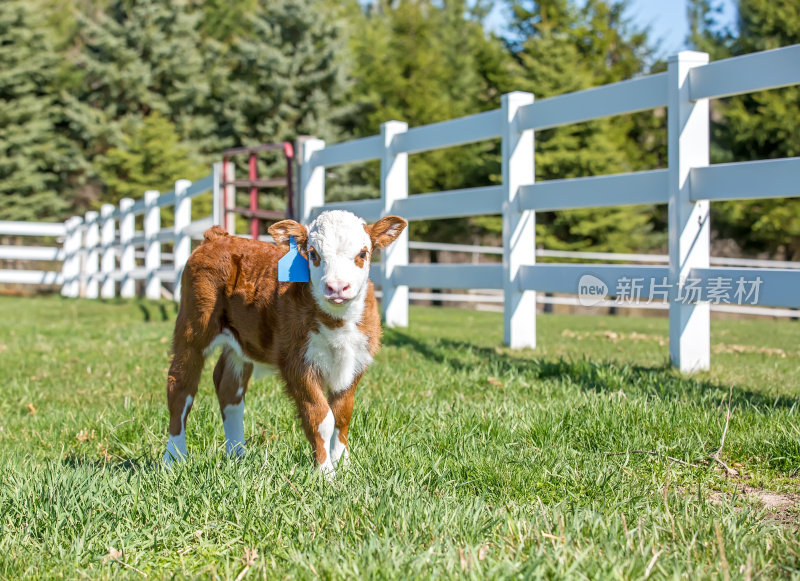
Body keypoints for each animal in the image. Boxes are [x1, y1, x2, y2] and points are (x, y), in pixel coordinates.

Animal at [165, 210, 410, 476]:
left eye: (363, 254)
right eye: (313, 254)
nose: (336, 287)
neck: (338, 324)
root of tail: (219, 237)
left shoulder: (355, 361)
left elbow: (342, 415)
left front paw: (344, 465)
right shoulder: (297, 363)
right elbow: (320, 416)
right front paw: (326, 473)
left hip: (239, 345)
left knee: (228, 389)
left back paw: (237, 455)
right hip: (192, 328)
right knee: (180, 388)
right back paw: (174, 459)